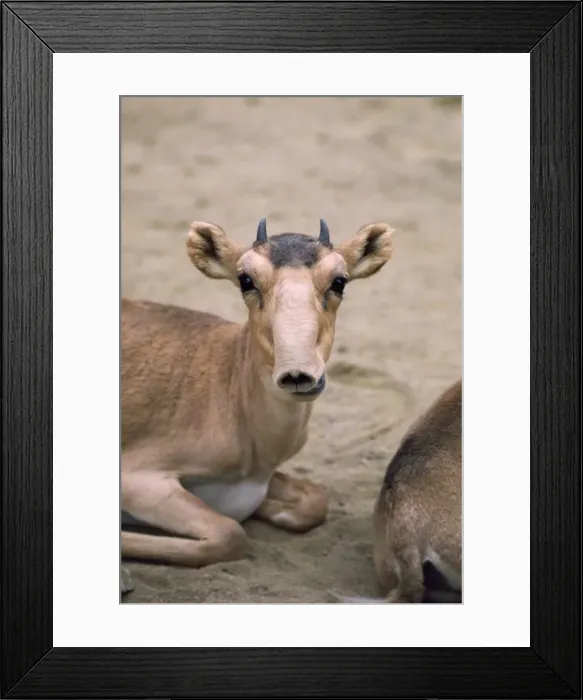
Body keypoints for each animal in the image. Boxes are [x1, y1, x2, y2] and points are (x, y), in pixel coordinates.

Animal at [121, 218, 395, 571]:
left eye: (339, 280)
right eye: (245, 279)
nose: (298, 374)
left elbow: (315, 499)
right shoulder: (137, 480)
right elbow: (230, 534)